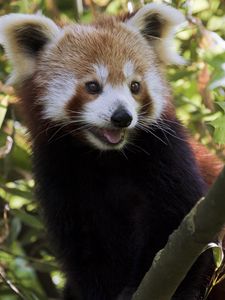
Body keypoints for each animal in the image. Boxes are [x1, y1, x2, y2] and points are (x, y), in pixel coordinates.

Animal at [0, 2, 222, 300]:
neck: (106, 157)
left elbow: (176, 221)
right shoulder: (58, 172)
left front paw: (137, 289)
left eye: (135, 86)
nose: (122, 117)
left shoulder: (169, 154)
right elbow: (85, 250)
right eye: (93, 86)